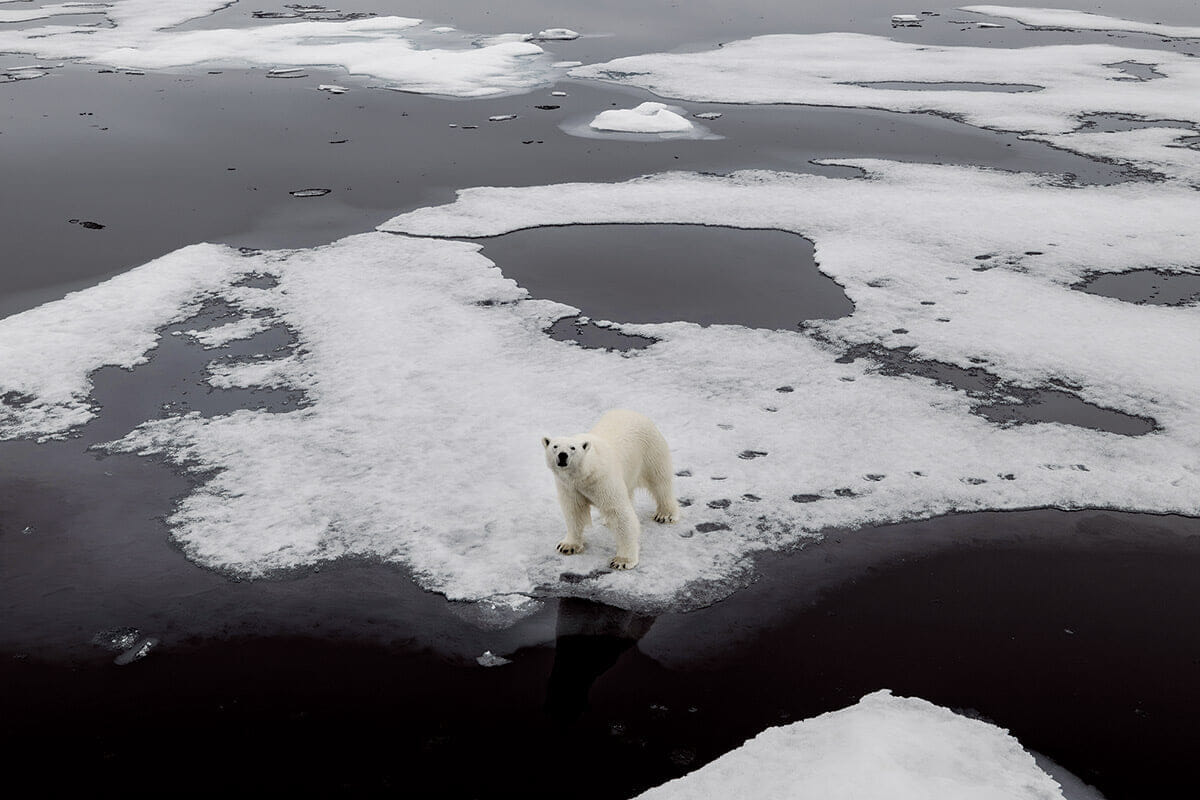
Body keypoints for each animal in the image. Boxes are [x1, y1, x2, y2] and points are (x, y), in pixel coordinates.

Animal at [542, 410, 681, 573]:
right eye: (555, 446)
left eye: (572, 448)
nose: (562, 455)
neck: (585, 474)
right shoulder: (569, 486)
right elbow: (574, 511)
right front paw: (567, 546)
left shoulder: (603, 480)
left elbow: (620, 512)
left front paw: (622, 561)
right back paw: (607, 520)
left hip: (650, 449)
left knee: (660, 481)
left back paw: (665, 514)